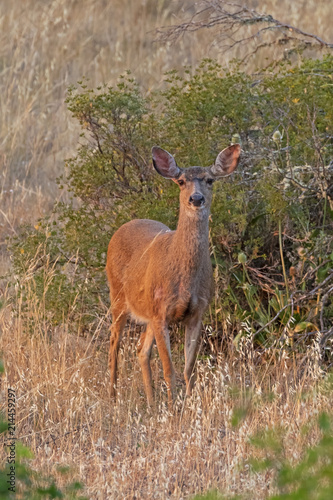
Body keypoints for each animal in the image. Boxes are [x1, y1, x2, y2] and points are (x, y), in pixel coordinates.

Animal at [105, 142, 240, 406]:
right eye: (180, 181)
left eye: (210, 180)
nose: (196, 198)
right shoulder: (161, 312)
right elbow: (169, 369)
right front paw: (173, 406)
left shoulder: (197, 312)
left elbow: (189, 369)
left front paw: (188, 404)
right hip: (118, 297)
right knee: (114, 344)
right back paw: (112, 397)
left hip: (147, 310)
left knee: (140, 349)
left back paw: (150, 401)